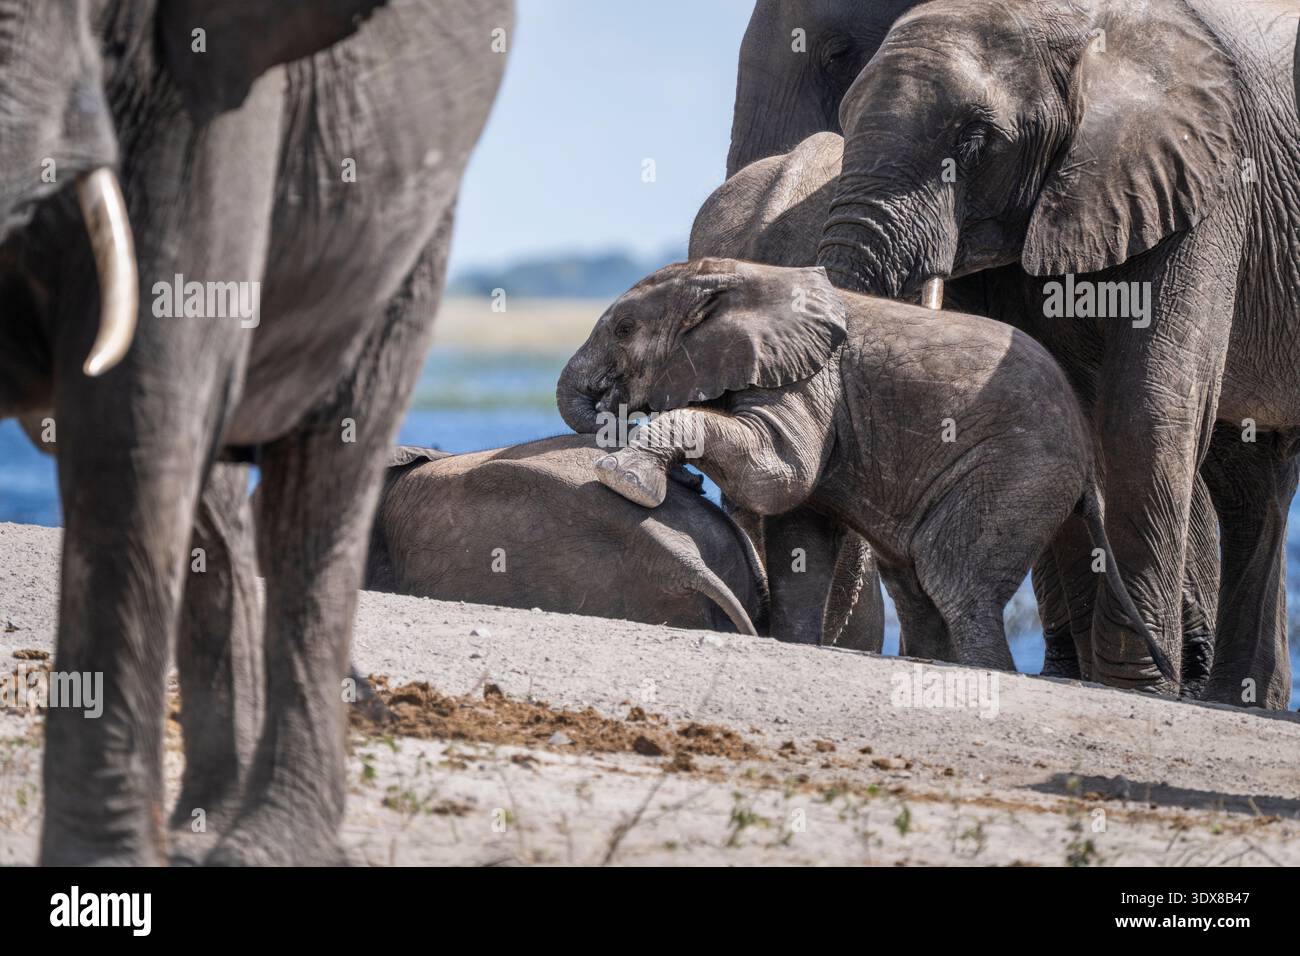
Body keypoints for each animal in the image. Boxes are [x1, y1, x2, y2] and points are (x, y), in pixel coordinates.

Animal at [562, 257, 1173, 676]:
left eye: (622, 330)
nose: (687, 480)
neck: (740, 277)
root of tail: (1088, 465)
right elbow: (798, 530)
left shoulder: (810, 380)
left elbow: (780, 475)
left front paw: (626, 480)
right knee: (914, 585)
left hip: (1019, 472)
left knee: (955, 581)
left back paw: (986, 671)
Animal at [813, 0, 1299, 707]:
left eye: (974, 141)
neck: (1076, 24)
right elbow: (1058, 398)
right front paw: (1103, 677)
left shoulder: (1207, 180)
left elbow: (1150, 400)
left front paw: (1137, 685)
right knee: (1252, 476)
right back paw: (1235, 696)